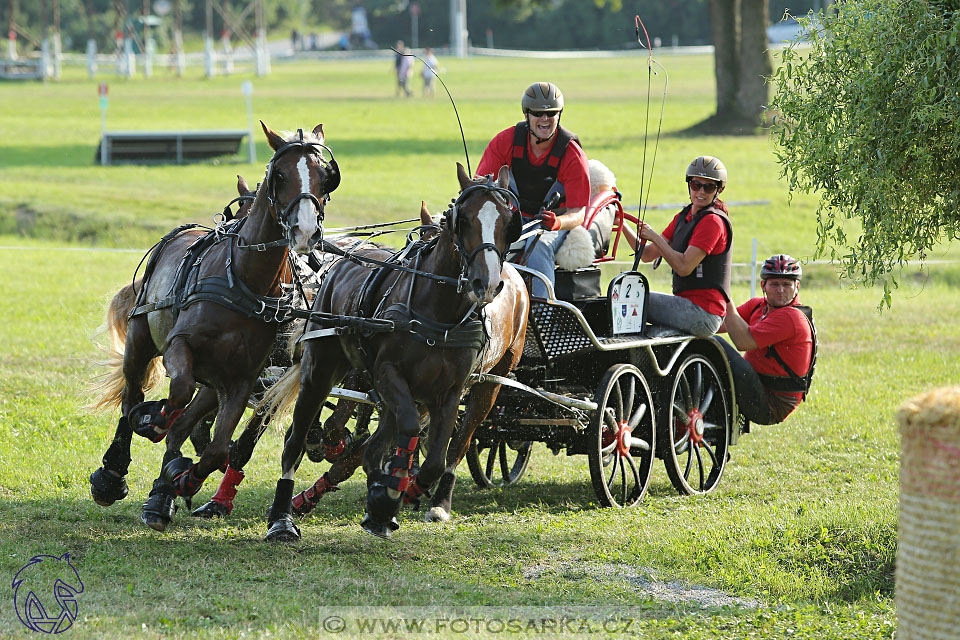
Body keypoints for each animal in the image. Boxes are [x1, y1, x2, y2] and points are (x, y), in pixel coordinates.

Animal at [87, 124, 342, 528]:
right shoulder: (181, 348)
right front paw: (154, 422)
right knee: (132, 398)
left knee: (186, 423)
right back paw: (114, 471)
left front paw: (181, 480)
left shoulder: (240, 380)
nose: (305, 231)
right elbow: (176, 394)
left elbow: (218, 447)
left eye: (325, 177)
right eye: (280, 176)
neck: (244, 281)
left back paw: (163, 491)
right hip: (142, 341)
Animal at [262, 165, 524, 540]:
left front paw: (396, 496)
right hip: (321, 371)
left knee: (448, 445)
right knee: (297, 441)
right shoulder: (389, 375)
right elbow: (408, 431)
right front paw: (386, 497)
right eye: (463, 220)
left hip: (488, 386)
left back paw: (416, 503)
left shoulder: (449, 392)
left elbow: (434, 460)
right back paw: (284, 516)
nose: (485, 284)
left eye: (507, 221)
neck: (438, 314)